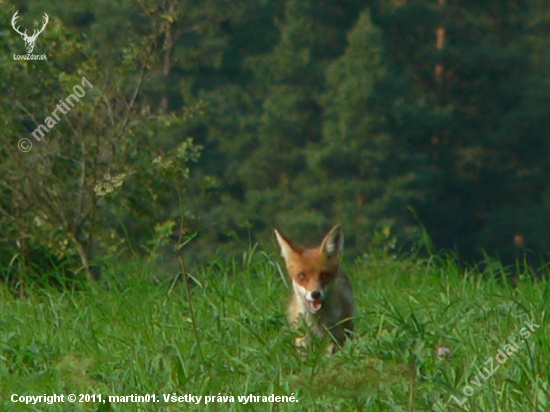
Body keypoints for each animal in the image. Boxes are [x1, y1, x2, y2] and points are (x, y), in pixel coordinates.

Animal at [274, 225, 356, 354]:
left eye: (324, 275)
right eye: (302, 276)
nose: (315, 294)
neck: (317, 325)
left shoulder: (334, 340)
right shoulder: (302, 343)